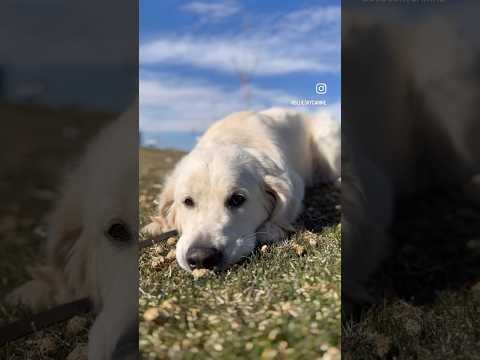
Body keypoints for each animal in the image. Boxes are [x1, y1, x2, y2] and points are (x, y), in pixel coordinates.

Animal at [144, 108, 340, 272]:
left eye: (237, 199)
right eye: (187, 201)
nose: (201, 257)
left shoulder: (294, 180)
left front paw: (272, 228)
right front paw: (157, 225)